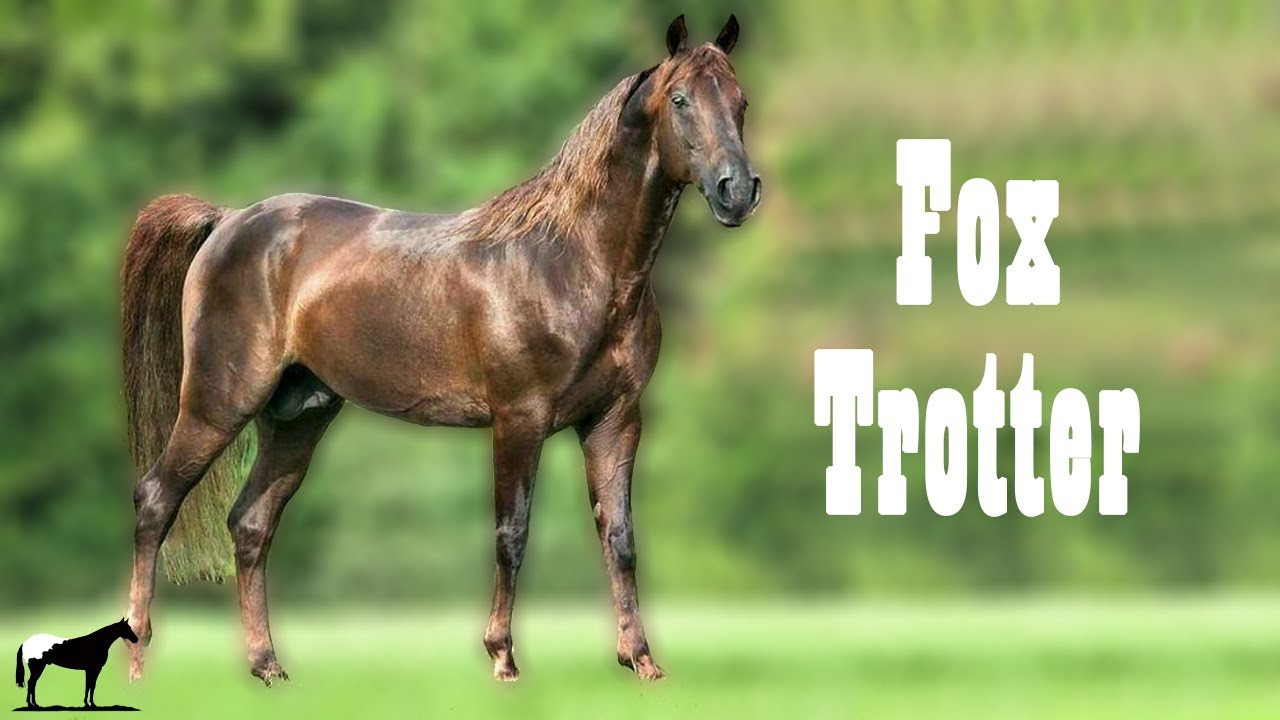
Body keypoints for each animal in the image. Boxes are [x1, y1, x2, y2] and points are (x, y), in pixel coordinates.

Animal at [121, 14, 758, 685]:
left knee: (249, 524)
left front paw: (640, 659)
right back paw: (138, 661)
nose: (737, 190)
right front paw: (503, 658)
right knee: (155, 501)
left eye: (740, 102)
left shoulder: (615, 421)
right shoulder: (519, 420)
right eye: (681, 100)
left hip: (298, 417)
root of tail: (229, 220)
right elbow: (511, 533)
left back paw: (268, 667)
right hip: (218, 404)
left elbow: (621, 539)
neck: (571, 263)